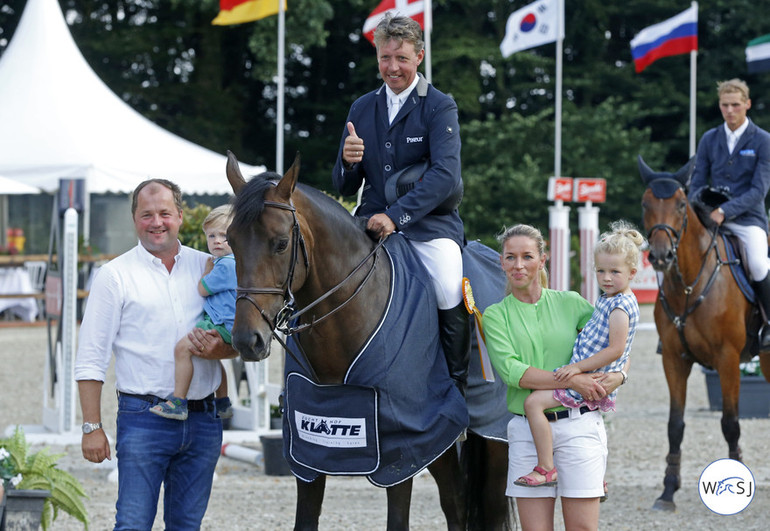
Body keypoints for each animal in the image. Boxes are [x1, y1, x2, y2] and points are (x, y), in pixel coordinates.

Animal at [222, 152, 512, 528]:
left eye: (281, 243)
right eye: (230, 240)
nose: (247, 340)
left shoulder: (402, 449)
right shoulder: (308, 448)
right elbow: (305, 519)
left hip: (493, 437)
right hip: (442, 442)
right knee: (456, 502)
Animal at [636, 156, 768, 512]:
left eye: (681, 205)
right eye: (645, 204)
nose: (661, 256)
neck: (688, 284)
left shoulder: (727, 359)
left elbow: (730, 423)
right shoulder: (674, 359)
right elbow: (675, 425)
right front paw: (668, 491)